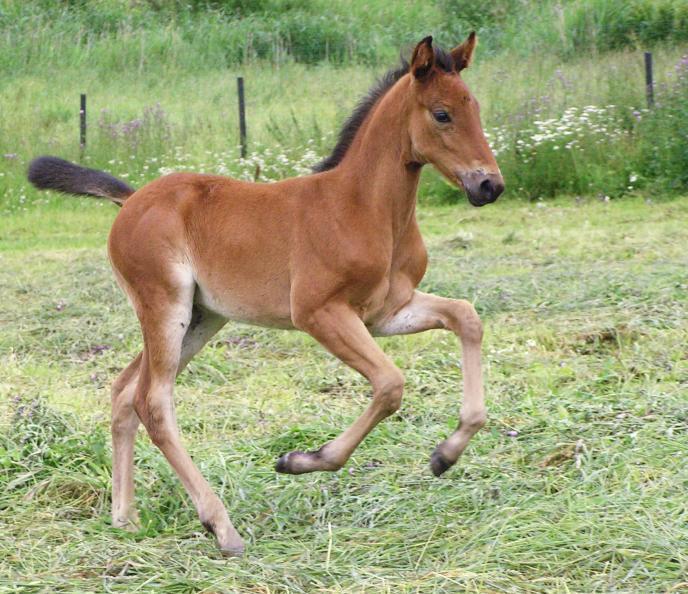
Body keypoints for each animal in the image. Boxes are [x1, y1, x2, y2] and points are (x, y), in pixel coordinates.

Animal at [28, 34, 500, 552]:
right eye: (442, 114)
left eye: (475, 107)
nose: (489, 184)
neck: (362, 208)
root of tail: (132, 200)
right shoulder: (318, 313)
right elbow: (391, 384)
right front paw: (301, 460)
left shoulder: (387, 312)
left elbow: (466, 317)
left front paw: (445, 454)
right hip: (165, 306)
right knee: (153, 402)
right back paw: (221, 526)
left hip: (201, 317)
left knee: (124, 391)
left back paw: (124, 517)